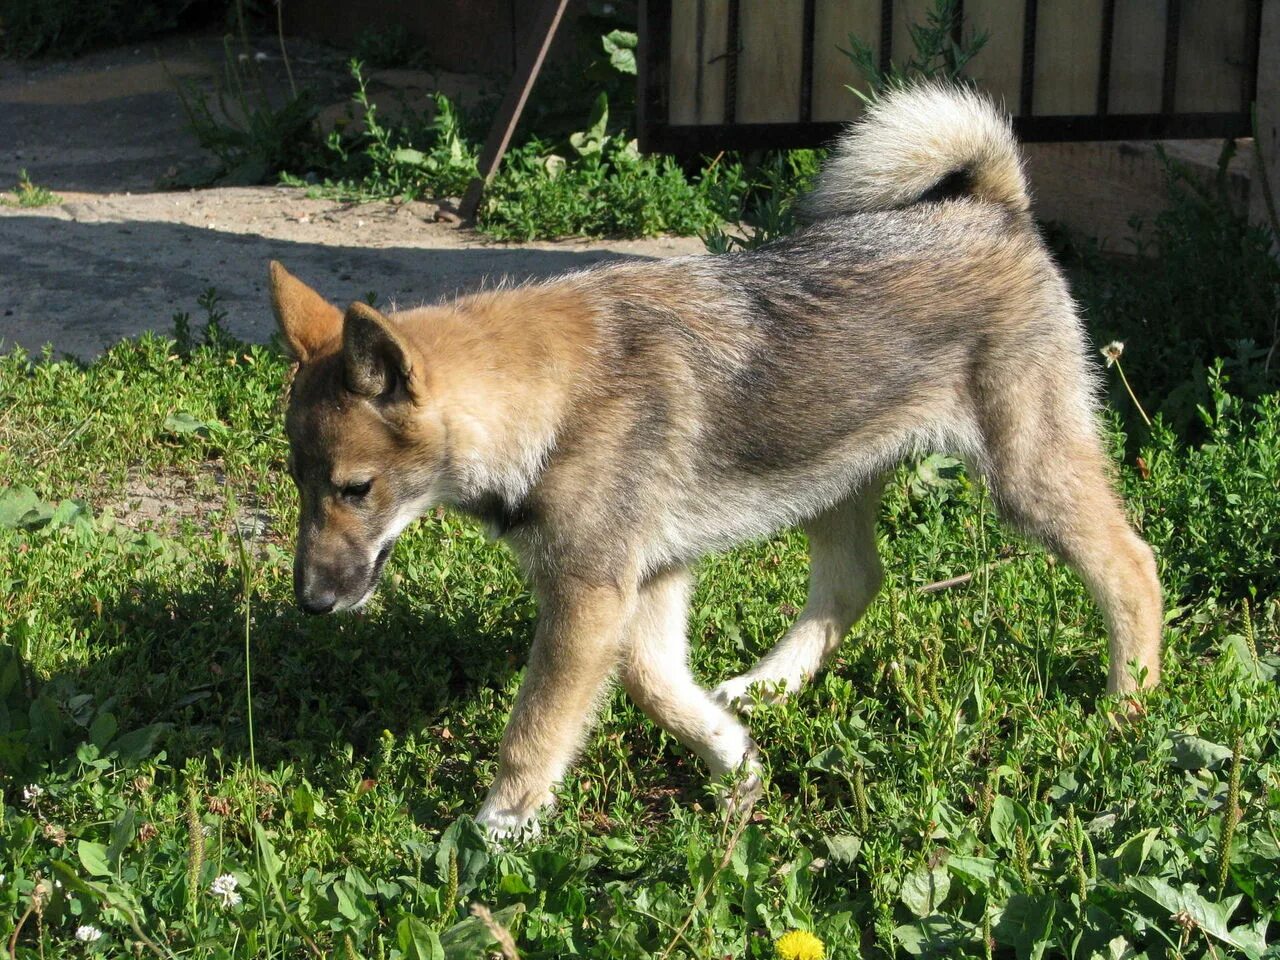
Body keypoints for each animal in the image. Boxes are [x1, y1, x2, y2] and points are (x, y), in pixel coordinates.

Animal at [267, 82, 1162, 839]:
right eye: (300, 483)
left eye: (357, 488)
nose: (310, 603)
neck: (550, 399)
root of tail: (995, 205)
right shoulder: (647, 585)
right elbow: (656, 687)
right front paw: (735, 763)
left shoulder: (591, 597)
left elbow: (538, 727)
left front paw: (499, 828)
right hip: (832, 478)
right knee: (855, 582)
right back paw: (768, 686)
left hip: (1024, 476)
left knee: (1132, 564)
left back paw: (1130, 705)